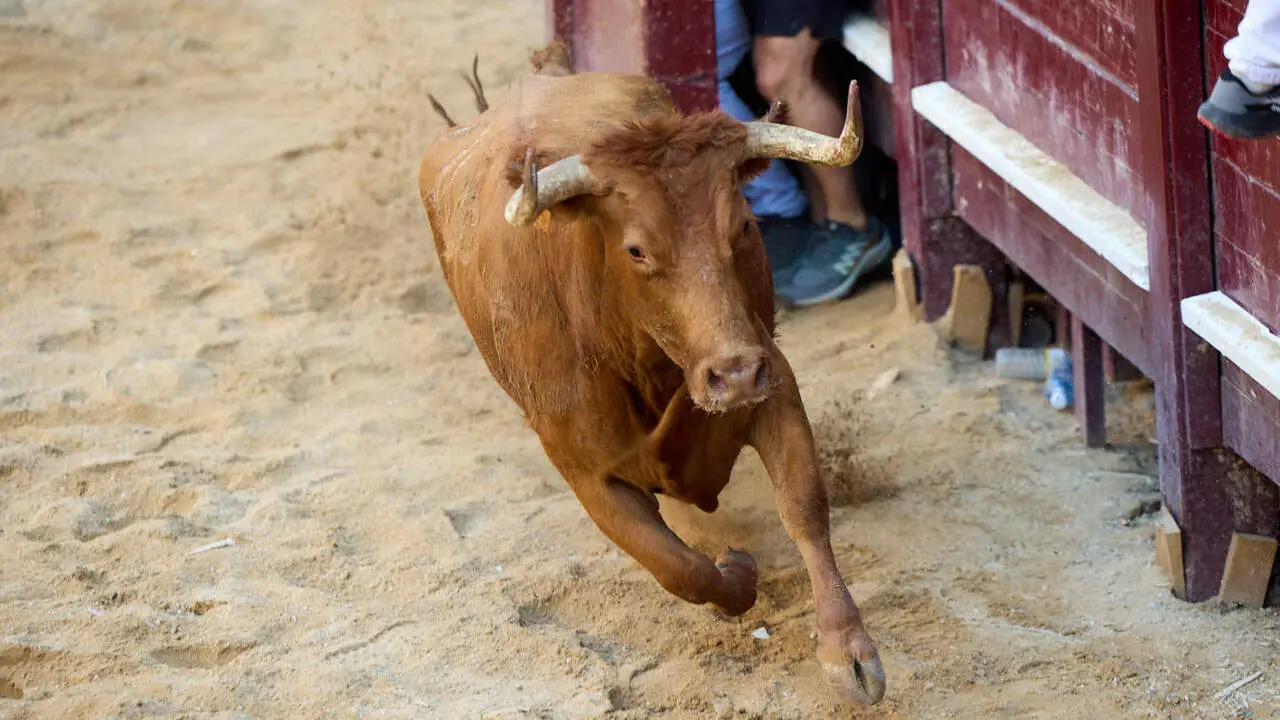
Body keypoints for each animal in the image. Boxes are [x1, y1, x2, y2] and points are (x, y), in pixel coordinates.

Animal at [418, 47, 885, 706]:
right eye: (636, 250)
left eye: (744, 226)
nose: (735, 375)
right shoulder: (587, 471)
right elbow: (679, 568)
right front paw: (738, 572)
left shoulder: (774, 384)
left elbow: (803, 506)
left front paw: (850, 654)